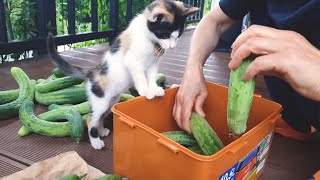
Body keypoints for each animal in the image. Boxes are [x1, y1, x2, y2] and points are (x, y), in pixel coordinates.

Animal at [46, 0, 199, 149]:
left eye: (178, 36)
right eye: (165, 35)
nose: (172, 47)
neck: (148, 39)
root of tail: (92, 72)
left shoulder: (153, 63)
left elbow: (151, 77)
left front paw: (155, 89)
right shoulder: (133, 61)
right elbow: (141, 77)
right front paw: (146, 91)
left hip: (111, 101)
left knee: (100, 116)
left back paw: (101, 130)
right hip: (100, 101)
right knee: (91, 119)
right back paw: (96, 141)